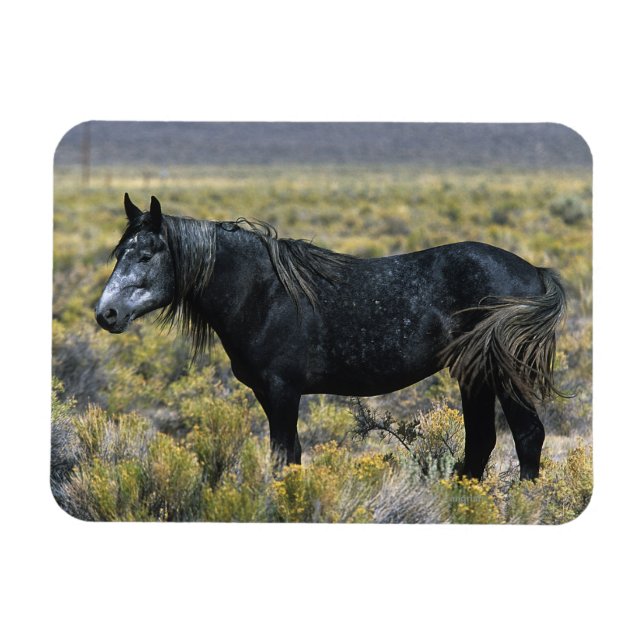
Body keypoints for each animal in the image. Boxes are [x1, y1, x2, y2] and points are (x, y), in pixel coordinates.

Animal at [96, 194, 567, 480]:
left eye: (146, 254)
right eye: (119, 252)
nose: (106, 314)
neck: (262, 292)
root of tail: (534, 271)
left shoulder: (282, 392)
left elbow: (283, 457)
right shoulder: (270, 394)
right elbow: (291, 455)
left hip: (503, 375)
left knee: (527, 436)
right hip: (474, 374)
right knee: (481, 441)